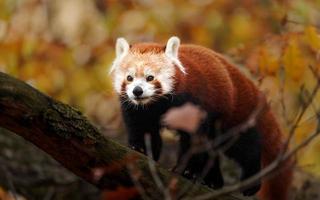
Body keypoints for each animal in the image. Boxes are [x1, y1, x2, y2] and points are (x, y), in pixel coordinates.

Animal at [109, 36, 292, 199]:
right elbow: (143, 130)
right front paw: (140, 149)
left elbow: (193, 141)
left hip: (233, 115)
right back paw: (213, 181)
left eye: (150, 77)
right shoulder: (139, 111)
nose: (137, 91)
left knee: (245, 146)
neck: (156, 105)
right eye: (129, 78)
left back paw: (251, 182)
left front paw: (186, 171)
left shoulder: (193, 103)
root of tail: (243, 81)